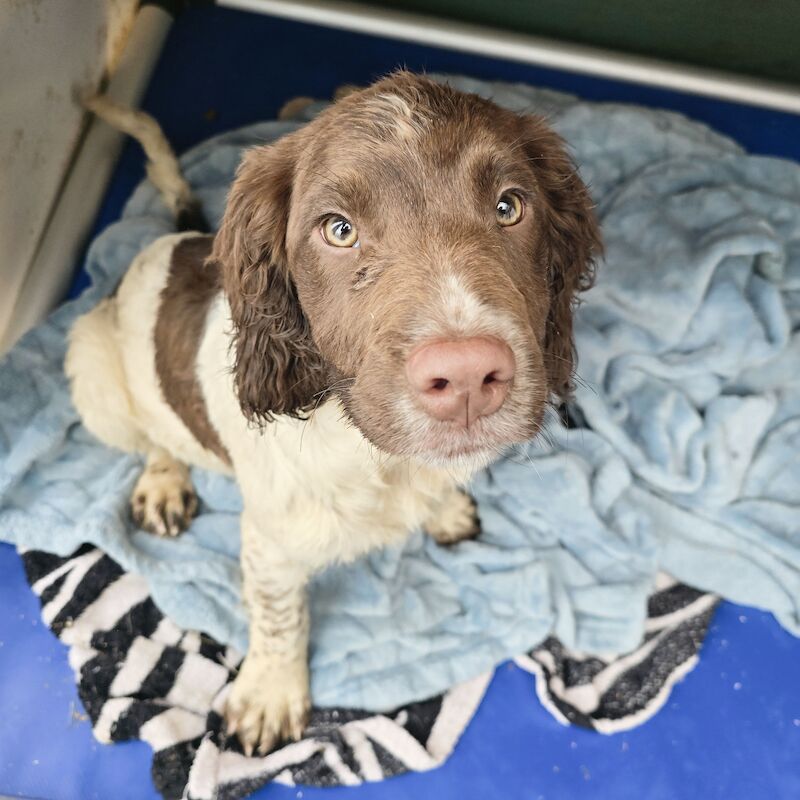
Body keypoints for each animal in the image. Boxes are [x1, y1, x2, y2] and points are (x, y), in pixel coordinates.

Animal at [65, 72, 600, 752]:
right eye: (338, 230)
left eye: (510, 207)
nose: (467, 376)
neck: (377, 457)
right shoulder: (270, 541)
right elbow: (279, 617)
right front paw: (271, 693)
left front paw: (444, 506)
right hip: (92, 368)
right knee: (151, 436)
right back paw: (163, 480)